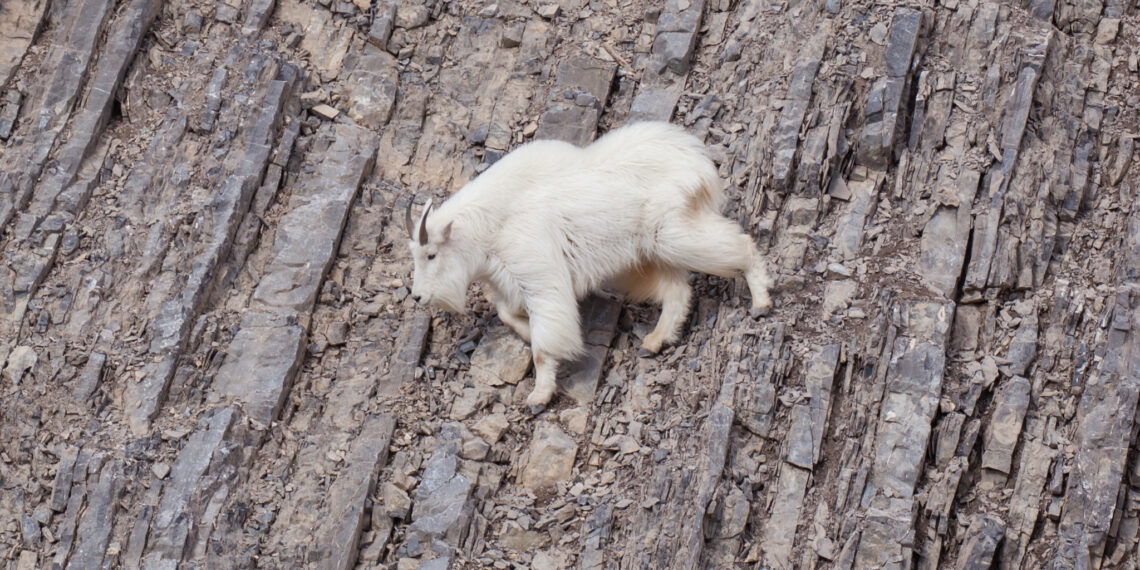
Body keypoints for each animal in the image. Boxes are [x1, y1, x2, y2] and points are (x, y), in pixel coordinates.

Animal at [406, 121, 772, 409]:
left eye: (431, 254)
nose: (418, 296)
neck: (488, 227)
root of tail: (694, 158)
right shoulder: (512, 281)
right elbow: (507, 313)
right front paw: (527, 334)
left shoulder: (538, 273)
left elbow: (545, 341)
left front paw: (538, 395)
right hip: (647, 256)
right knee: (677, 290)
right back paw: (656, 341)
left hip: (671, 234)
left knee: (739, 246)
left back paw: (761, 301)